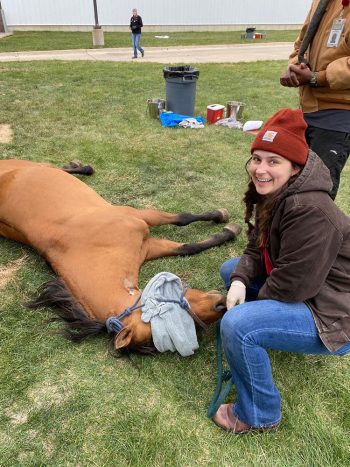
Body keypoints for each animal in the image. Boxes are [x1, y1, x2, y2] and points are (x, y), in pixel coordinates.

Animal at [0, 159, 241, 352]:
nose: (221, 305)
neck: (89, 245)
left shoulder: (140, 220)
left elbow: (184, 222)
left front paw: (222, 219)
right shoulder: (148, 244)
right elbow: (188, 244)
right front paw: (227, 229)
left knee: (55, 166)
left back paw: (81, 167)